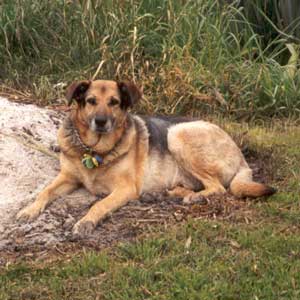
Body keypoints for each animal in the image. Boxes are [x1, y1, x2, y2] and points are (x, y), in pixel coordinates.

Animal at [17, 80, 276, 237]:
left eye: (114, 102)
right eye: (91, 101)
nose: (100, 122)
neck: (93, 150)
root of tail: (241, 157)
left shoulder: (124, 189)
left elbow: (100, 204)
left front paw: (86, 221)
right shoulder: (67, 177)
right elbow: (45, 192)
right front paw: (29, 210)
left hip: (177, 134)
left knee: (219, 188)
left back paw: (194, 197)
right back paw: (168, 194)